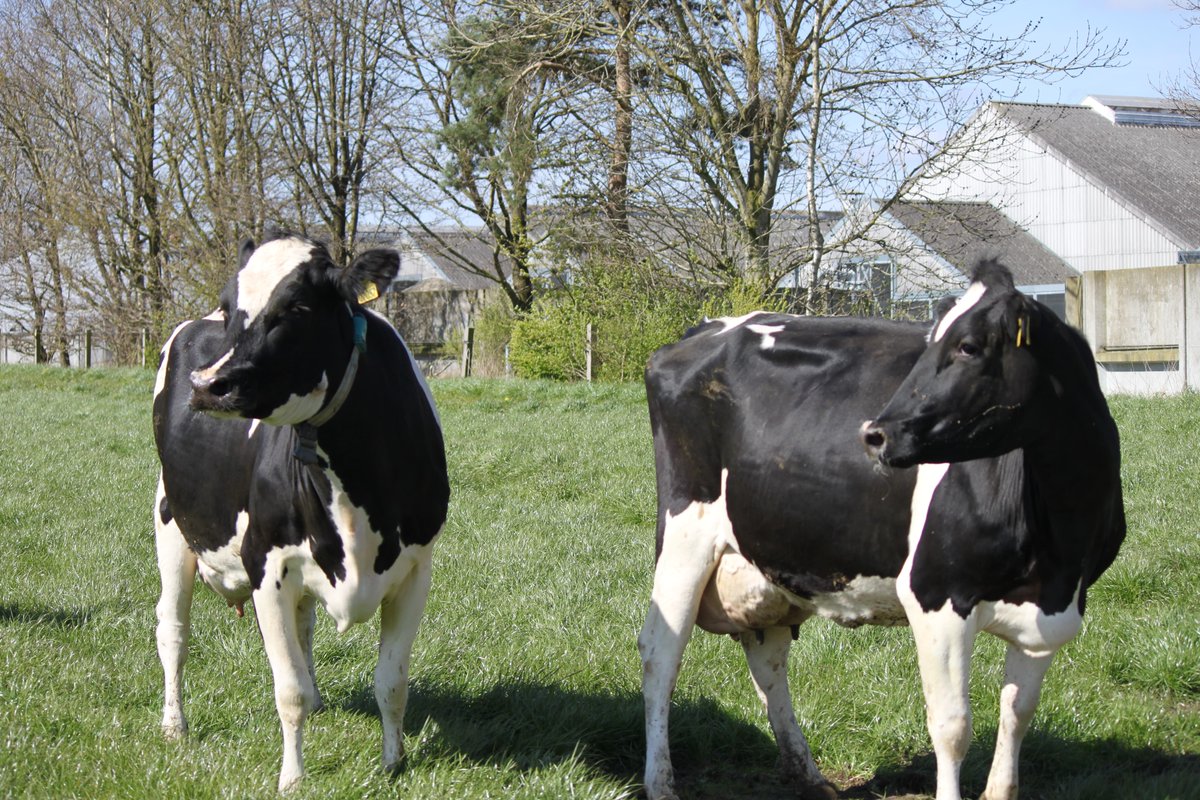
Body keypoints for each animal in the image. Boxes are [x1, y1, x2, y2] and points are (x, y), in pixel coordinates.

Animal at [152, 233, 449, 792]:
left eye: (296, 308)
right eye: (230, 305)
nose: (208, 384)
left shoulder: (416, 568)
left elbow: (392, 681)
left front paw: (393, 764)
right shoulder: (266, 564)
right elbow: (287, 690)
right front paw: (292, 778)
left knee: (305, 625)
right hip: (171, 522)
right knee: (172, 628)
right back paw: (174, 725)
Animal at [638, 260, 1124, 800]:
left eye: (968, 346)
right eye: (932, 340)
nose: (875, 433)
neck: (1058, 534)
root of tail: (701, 330)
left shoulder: (1049, 613)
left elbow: (1018, 714)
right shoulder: (935, 595)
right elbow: (952, 727)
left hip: (767, 555)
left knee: (768, 660)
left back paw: (808, 774)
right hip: (685, 537)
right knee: (660, 652)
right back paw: (661, 782)